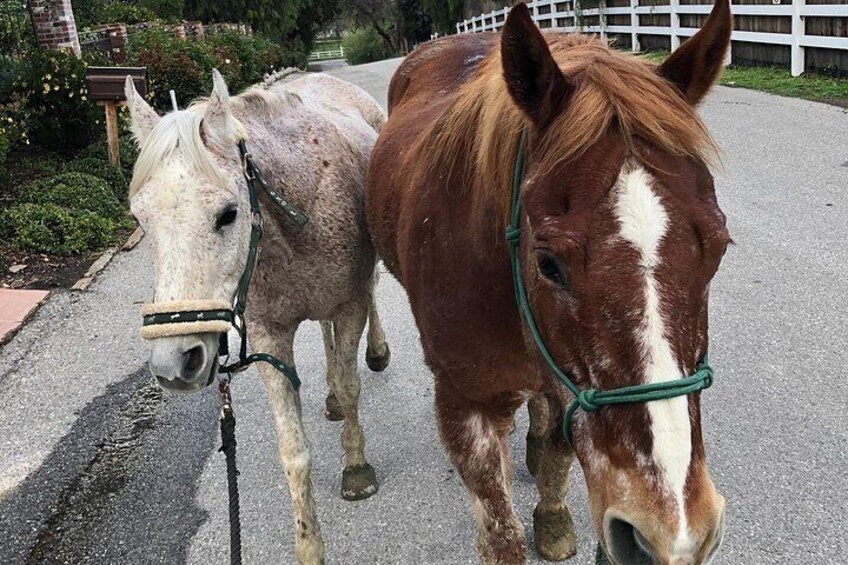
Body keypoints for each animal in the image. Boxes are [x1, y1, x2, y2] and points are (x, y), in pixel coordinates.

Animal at [125, 69, 391, 564]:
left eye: (227, 214)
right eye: (141, 220)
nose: (173, 363)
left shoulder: (350, 305)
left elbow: (352, 389)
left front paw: (357, 467)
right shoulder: (269, 337)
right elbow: (292, 446)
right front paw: (308, 543)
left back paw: (376, 353)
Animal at [367, 1, 732, 563]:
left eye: (718, 247)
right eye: (548, 264)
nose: (668, 531)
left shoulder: (566, 390)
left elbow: (560, 455)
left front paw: (553, 513)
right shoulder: (463, 404)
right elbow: (499, 530)